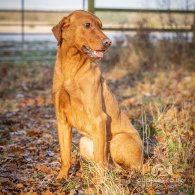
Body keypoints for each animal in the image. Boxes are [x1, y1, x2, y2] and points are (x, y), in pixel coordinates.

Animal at [51, 10, 143, 178]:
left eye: (101, 26)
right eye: (87, 25)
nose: (108, 42)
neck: (71, 66)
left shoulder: (98, 118)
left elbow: (100, 158)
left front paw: (100, 181)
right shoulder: (62, 120)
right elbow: (65, 155)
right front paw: (62, 176)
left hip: (117, 140)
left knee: (132, 167)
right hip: (84, 142)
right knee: (110, 165)